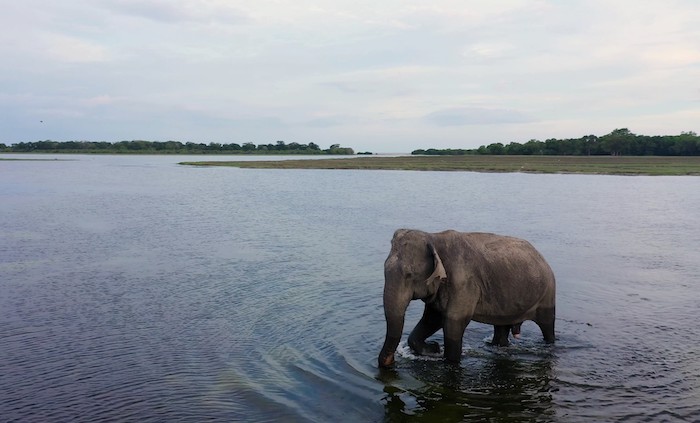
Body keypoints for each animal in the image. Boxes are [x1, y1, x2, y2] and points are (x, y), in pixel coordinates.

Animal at [380, 229, 556, 368]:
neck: (434, 238)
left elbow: (452, 324)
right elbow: (432, 318)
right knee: (501, 327)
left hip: (547, 292)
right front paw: (434, 349)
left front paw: (447, 359)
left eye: (409, 275)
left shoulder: (464, 284)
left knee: (547, 325)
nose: (390, 362)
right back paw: (498, 347)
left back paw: (549, 344)